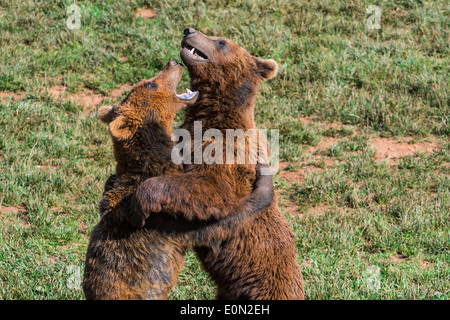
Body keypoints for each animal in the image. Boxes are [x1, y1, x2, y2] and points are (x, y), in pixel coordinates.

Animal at [131, 28, 306, 300]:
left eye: (220, 42)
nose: (189, 30)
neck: (212, 114)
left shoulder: (228, 153)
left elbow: (211, 189)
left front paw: (141, 202)